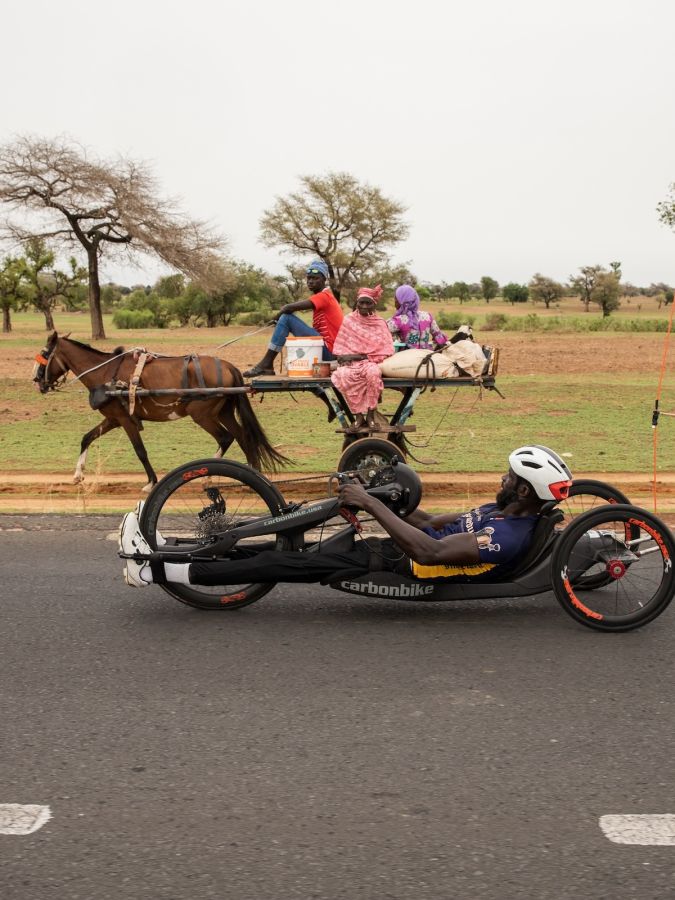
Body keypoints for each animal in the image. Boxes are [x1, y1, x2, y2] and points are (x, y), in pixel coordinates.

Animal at [33, 330, 286, 488]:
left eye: (45, 354)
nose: (36, 381)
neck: (106, 374)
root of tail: (228, 367)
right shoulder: (114, 419)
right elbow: (87, 438)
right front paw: (78, 475)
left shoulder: (125, 421)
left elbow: (140, 451)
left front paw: (151, 482)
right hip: (222, 412)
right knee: (243, 437)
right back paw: (252, 473)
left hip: (202, 414)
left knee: (225, 438)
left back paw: (209, 477)